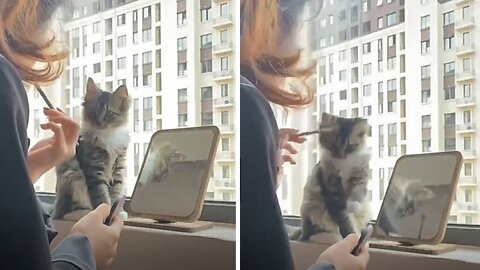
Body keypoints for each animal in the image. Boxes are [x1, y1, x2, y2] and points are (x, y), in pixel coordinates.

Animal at [53, 77, 131, 218]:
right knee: (67, 211)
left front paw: (117, 212)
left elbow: (115, 191)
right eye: (94, 111)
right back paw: (82, 213)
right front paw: (106, 213)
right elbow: (101, 196)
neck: (107, 134)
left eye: (110, 113)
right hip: (73, 175)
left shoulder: (118, 165)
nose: (99, 122)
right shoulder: (95, 169)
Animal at [292, 112, 372, 243]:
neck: (344, 164)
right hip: (311, 208)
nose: (341, 155)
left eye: (350, 146)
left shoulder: (359, 178)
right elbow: (344, 221)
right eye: (333, 144)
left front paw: (354, 206)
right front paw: (351, 237)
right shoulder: (332, 190)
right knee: (312, 233)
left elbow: (357, 196)